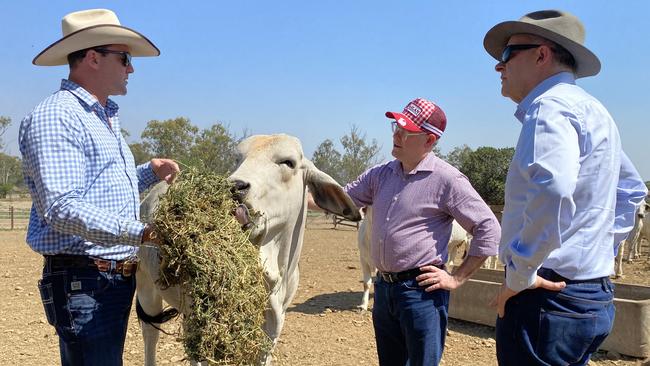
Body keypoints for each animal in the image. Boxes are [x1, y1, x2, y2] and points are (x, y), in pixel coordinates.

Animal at [135, 135, 360, 366]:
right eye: (238, 159)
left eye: (288, 162)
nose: (235, 187)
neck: (275, 274)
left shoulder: (273, 327)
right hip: (147, 286)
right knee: (151, 334)